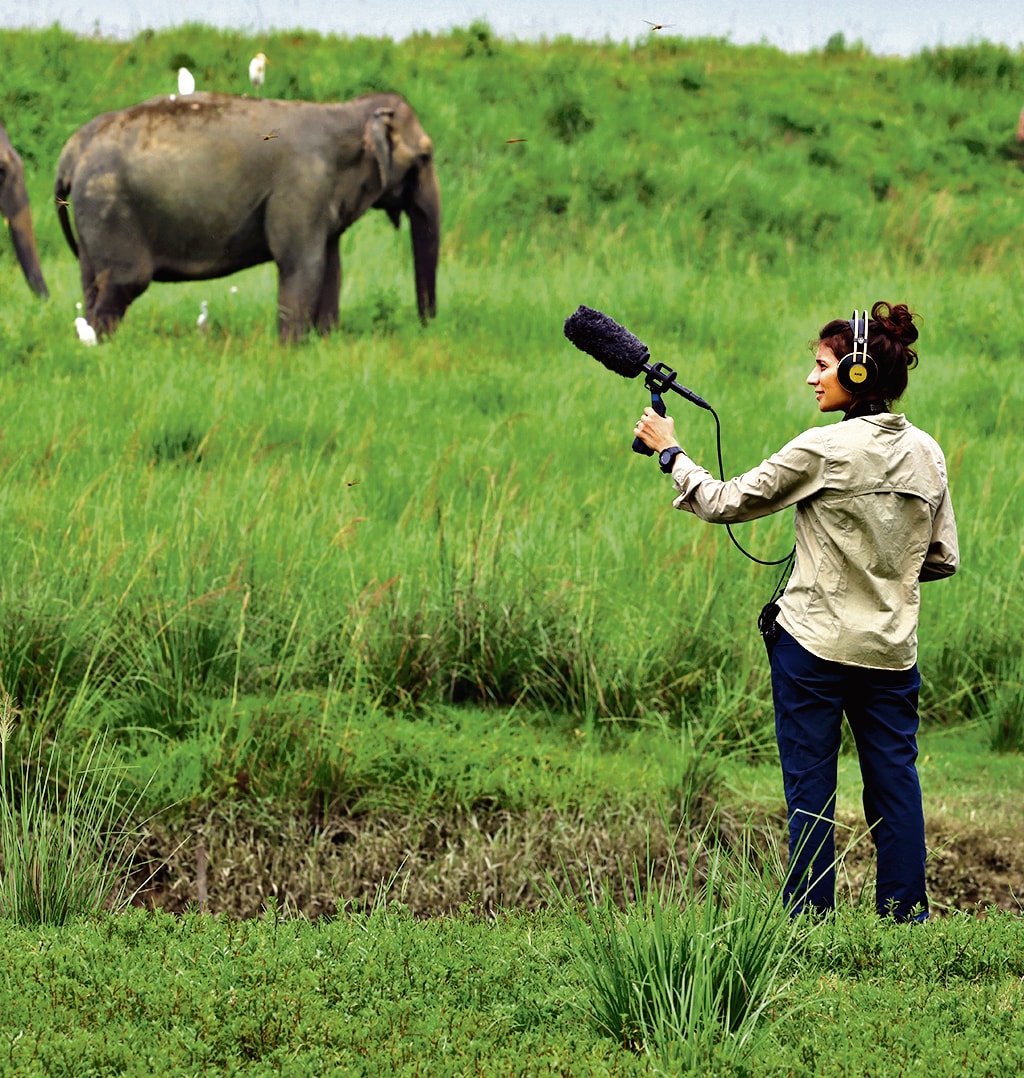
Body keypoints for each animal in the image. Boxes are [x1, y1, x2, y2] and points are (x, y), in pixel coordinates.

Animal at [54, 91, 440, 341]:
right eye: (425, 156)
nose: (426, 328)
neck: (346, 112)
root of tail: (72, 149)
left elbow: (332, 267)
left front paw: (324, 345)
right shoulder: (302, 188)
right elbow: (302, 265)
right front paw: (291, 351)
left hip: (92, 222)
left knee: (92, 282)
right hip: (110, 207)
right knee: (124, 282)